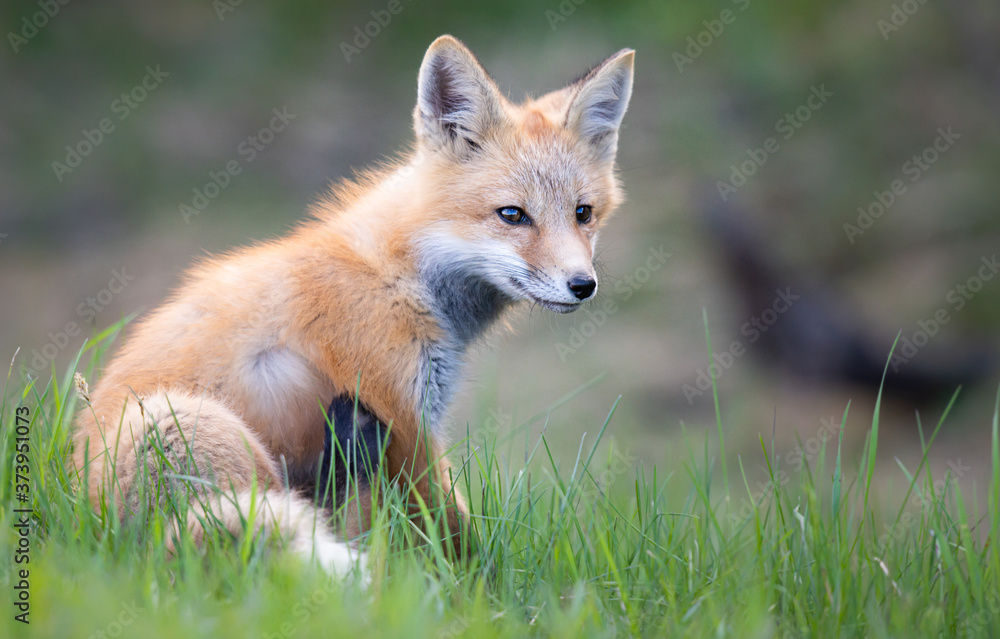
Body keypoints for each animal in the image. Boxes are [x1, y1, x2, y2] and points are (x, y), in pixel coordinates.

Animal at [73, 35, 635, 578]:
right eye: (513, 215)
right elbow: (456, 536)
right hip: (183, 424)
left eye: (583, 213)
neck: (398, 276)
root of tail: (90, 529)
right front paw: (478, 594)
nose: (582, 285)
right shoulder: (404, 420)